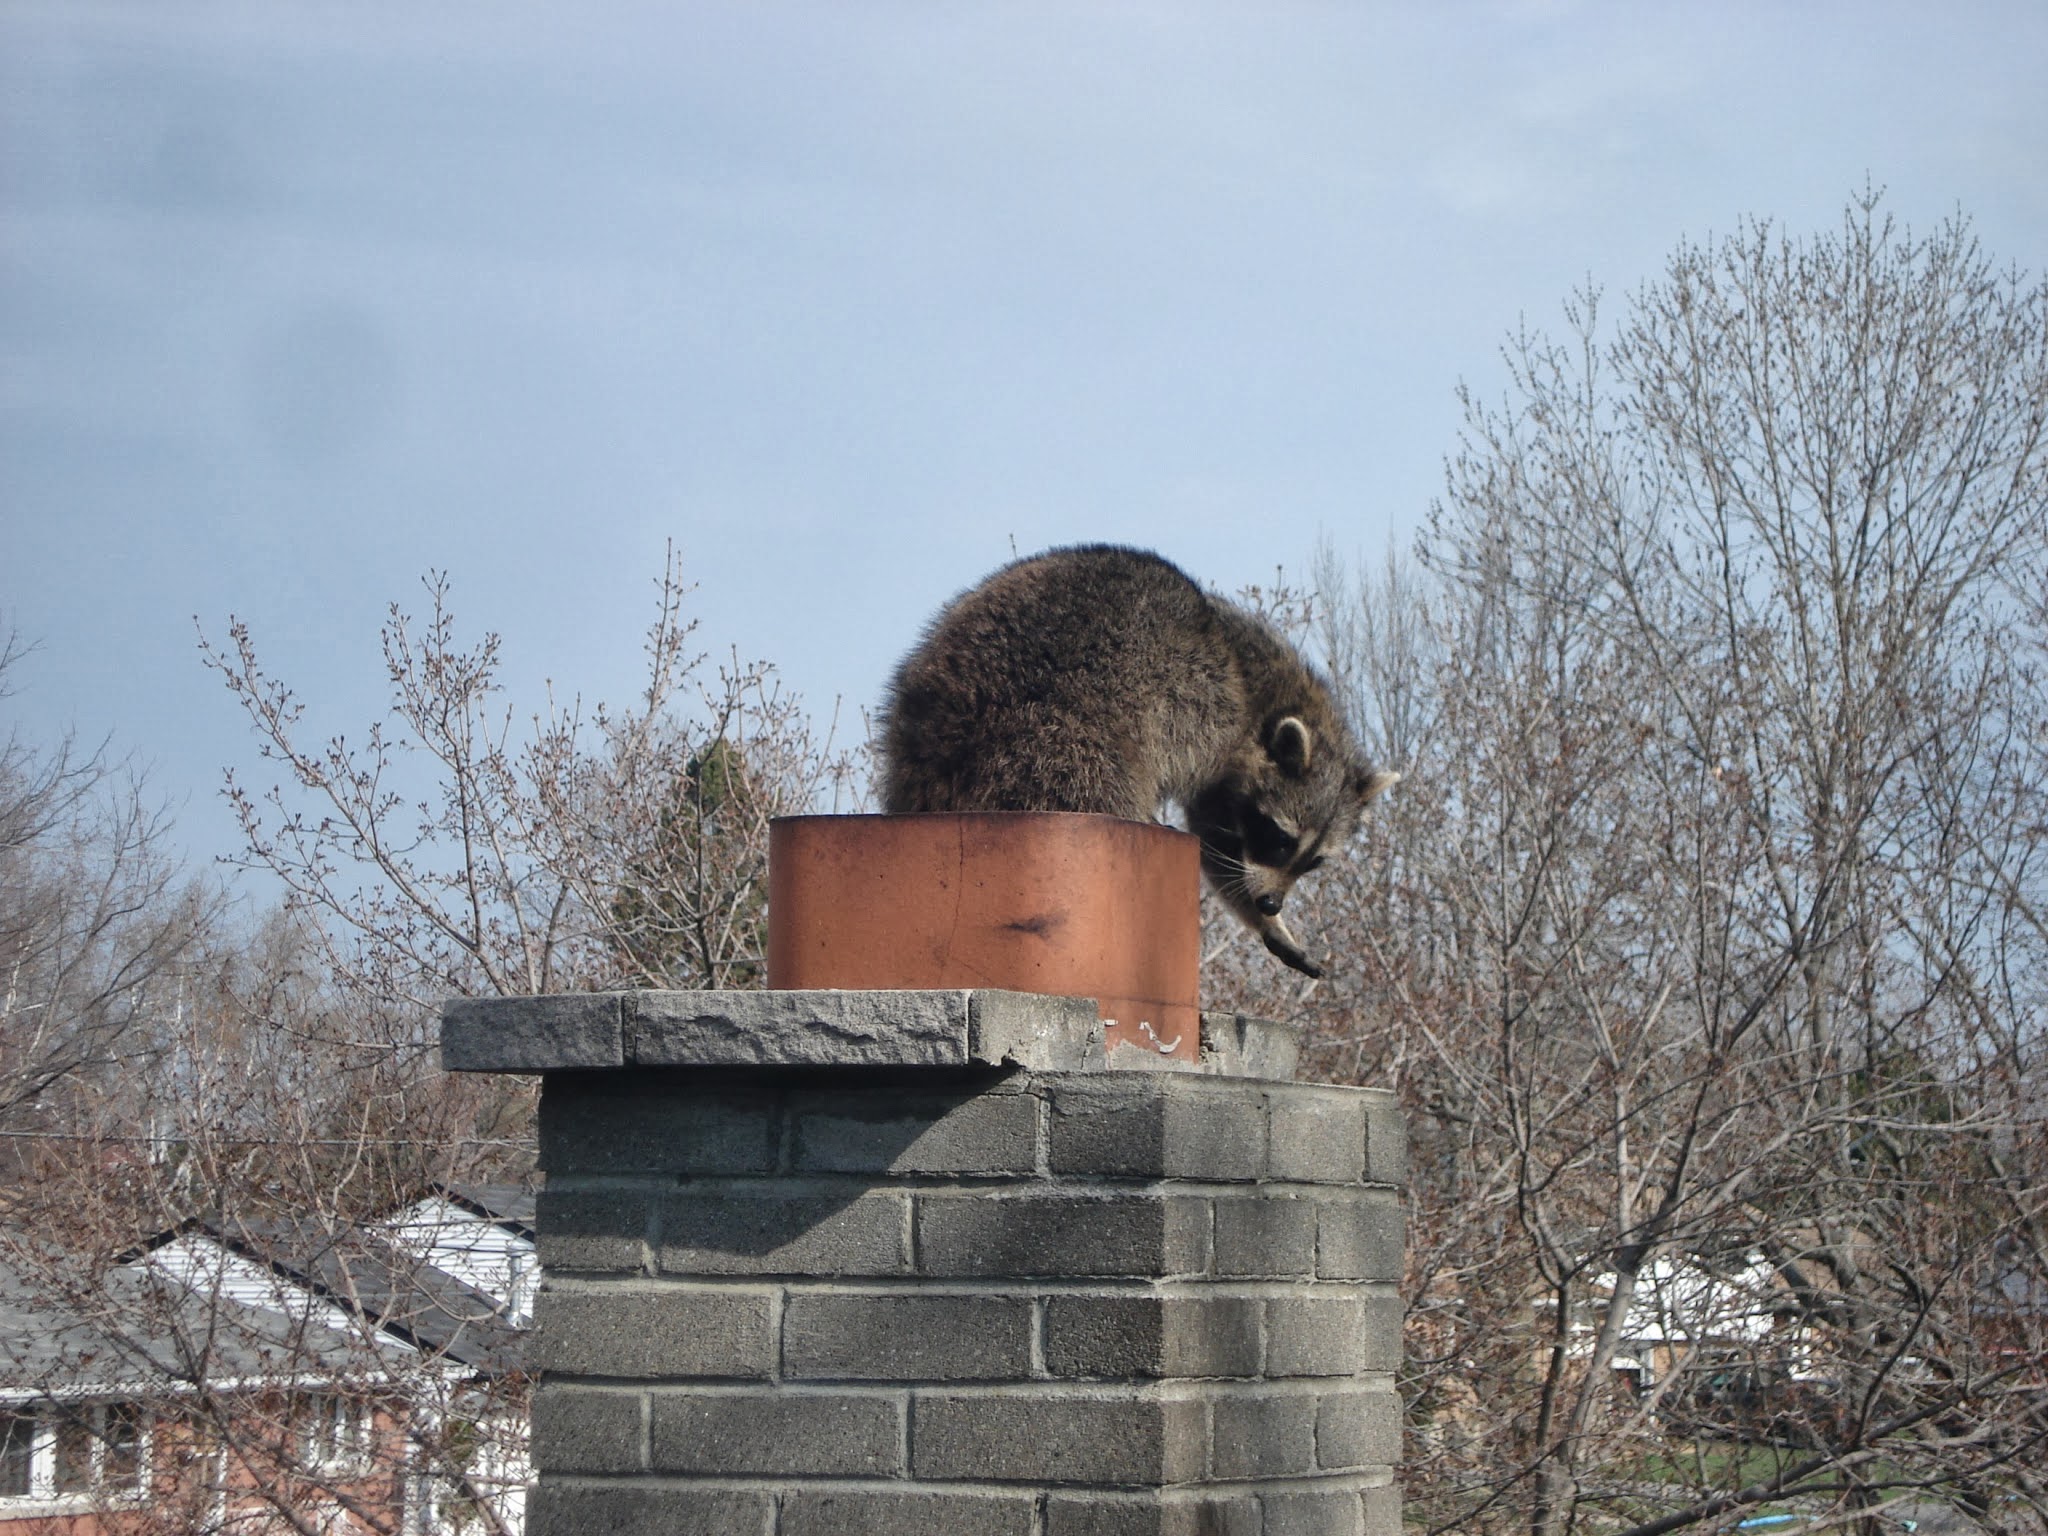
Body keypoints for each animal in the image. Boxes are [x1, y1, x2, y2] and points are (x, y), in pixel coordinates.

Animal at [872, 544, 1400, 974]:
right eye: (1281, 838)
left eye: (1314, 863)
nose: (1271, 903)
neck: (1265, 691)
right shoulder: (1212, 727)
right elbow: (1214, 837)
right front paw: (1254, 905)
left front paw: (1268, 921)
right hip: (1050, 732)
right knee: (1091, 783)